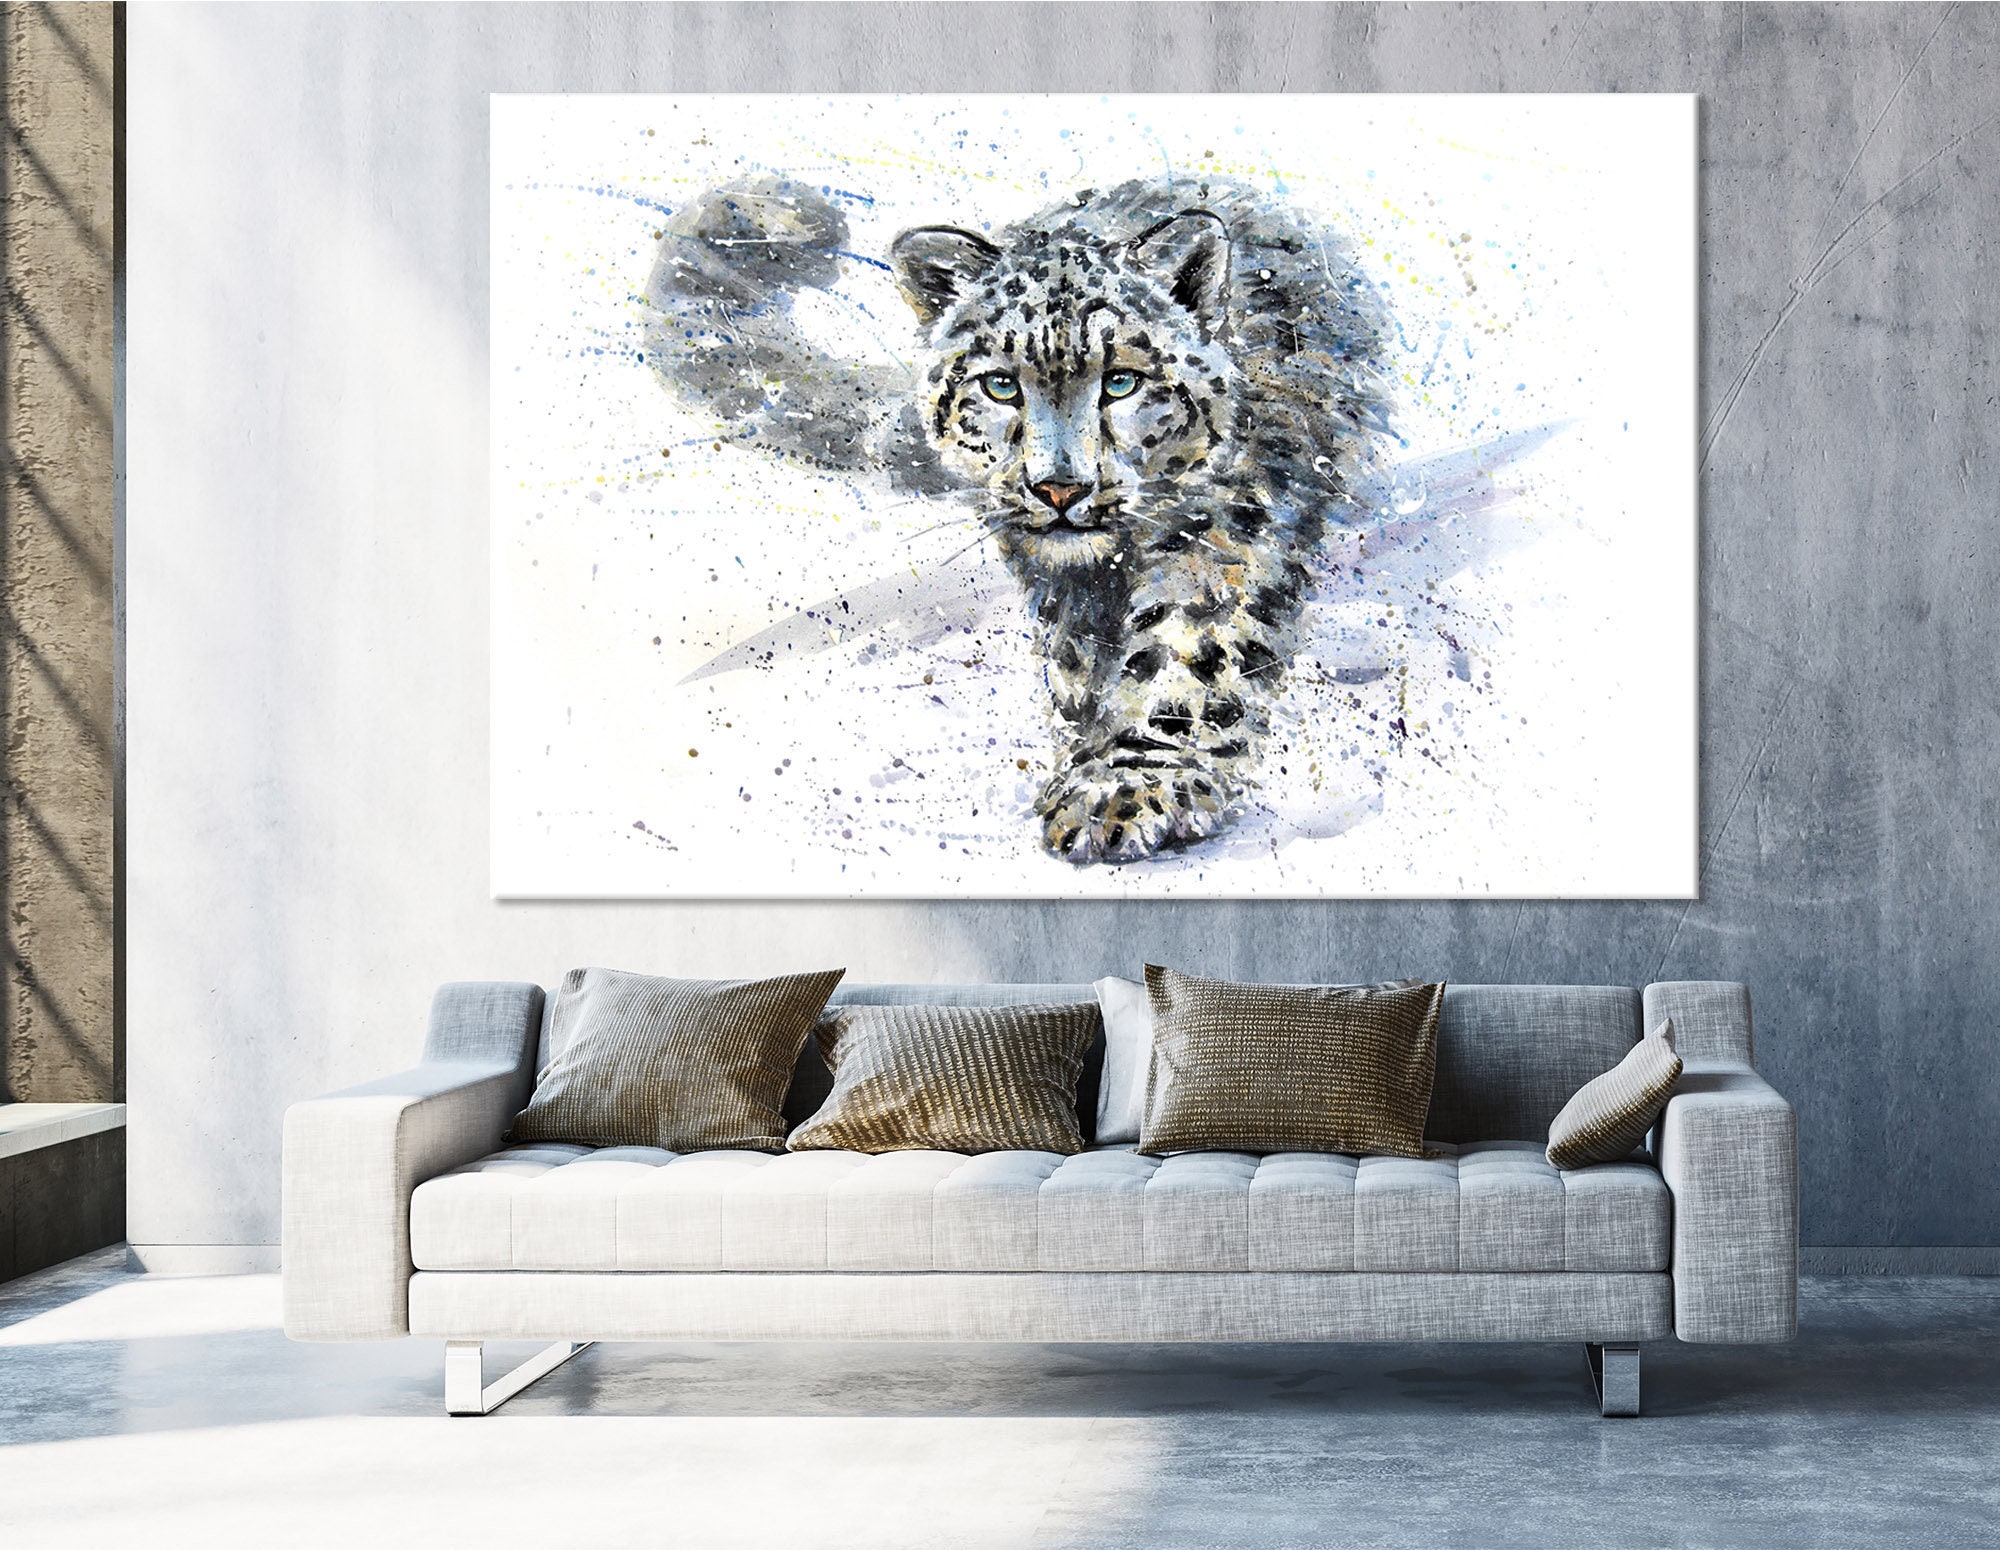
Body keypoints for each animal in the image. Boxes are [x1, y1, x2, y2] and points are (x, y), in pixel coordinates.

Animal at [642, 174, 1390, 865]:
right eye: (1000, 384)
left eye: (1122, 380)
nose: (1058, 488)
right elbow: (1080, 662)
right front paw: (1091, 747)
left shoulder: (1221, 537)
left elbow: (1187, 655)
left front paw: (1124, 785)